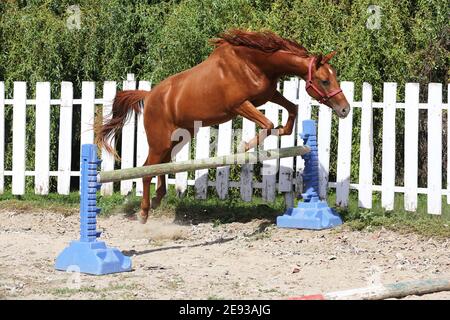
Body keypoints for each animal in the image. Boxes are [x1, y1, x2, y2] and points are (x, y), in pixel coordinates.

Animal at [95, 30, 350, 225]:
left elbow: (293, 109)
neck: (253, 62)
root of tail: (149, 96)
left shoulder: (268, 95)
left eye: (335, 77)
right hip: (160, 141)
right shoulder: (240, 105)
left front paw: (283, 130)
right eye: (324, 80)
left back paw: (158, 199)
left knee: (160, 167)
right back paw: (144, 212)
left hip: (179, 138)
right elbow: (267, 123)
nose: (345, 109)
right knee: (148, 170)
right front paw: (244, 147)